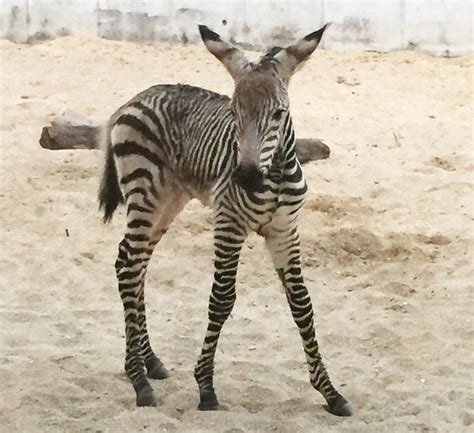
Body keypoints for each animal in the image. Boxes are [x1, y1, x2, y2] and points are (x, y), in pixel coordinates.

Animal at [98, 22, 352, 416]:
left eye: (279, 114)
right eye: (233, 112)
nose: (245, 177)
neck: (273, 176)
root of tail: (135, 98)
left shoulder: (285, 230)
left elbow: (302, 303)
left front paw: (330, 392)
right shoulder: (229, 224)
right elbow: (221, 300)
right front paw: (205, 388)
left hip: (168, 201)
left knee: (133, 261)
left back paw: (149, 362)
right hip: (144, 192)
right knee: (129, 267)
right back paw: (139, 380)